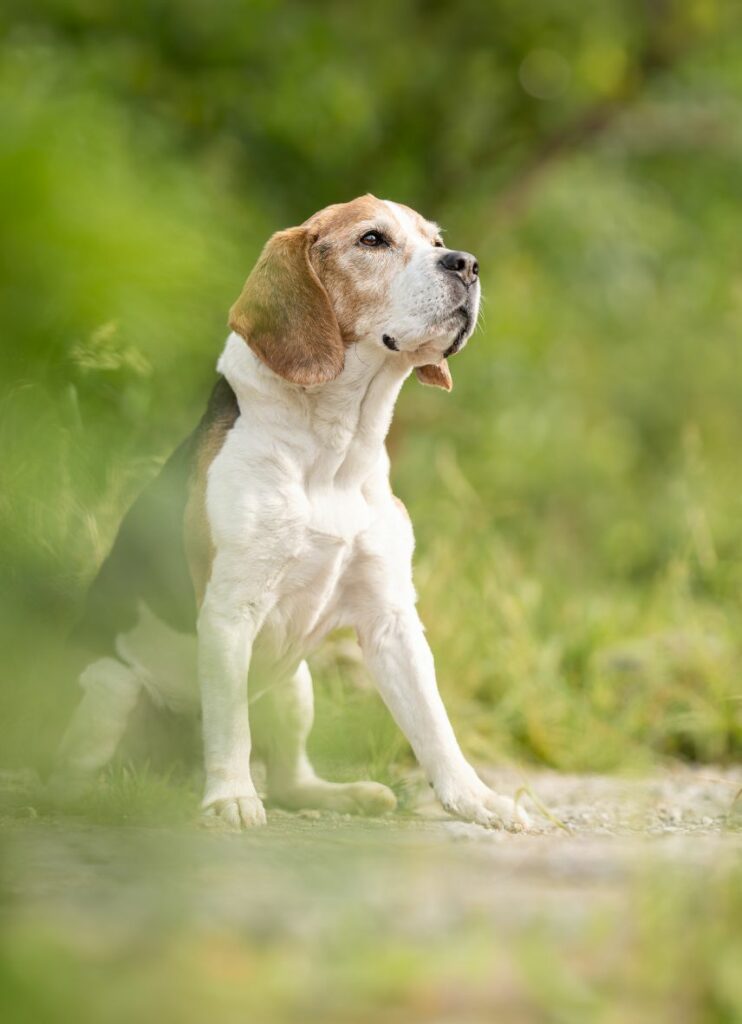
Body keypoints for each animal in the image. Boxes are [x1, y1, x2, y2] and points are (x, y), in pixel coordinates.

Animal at [53, 193, 528, 831]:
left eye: (435, 241)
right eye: (372, 240)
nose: (467, 264)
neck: (334, 448)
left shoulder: (392, 617)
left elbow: (434, 725)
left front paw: (477, 799)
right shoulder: (230, 611)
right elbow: (230, 726)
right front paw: (231, 798)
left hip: (294, 684)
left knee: (289, 778)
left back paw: (343, 794)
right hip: (110, 687)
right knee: (71, 780)